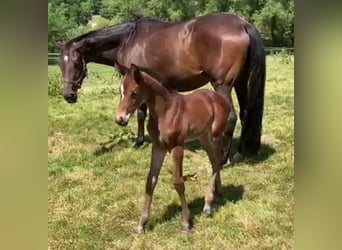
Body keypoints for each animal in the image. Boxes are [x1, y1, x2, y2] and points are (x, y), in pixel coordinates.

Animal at [58, 12, 266, 158]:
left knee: (231, 117)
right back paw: (241, 152)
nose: (69, 95)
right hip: (240, 82)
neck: (128, 40)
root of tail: (242, 24)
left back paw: (225, 158)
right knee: (245, 113)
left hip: (222, 85)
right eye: (60, 63)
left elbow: (140, 114)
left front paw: (138, 142)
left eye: (76, 63)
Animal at [113, 62, 234, 232]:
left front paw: (186, 223)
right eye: (120, 92)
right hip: (203, 137)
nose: (120, 119)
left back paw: (208, 205)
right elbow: (150, 180)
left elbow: (178, 182)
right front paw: (142, 224)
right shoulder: (158, 147)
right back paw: (218, 192)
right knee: (213, 161)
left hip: (216, 135)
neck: (165, 112)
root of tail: (221, 100)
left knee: (217, 162)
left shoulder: (177, 146)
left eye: (134, 93)